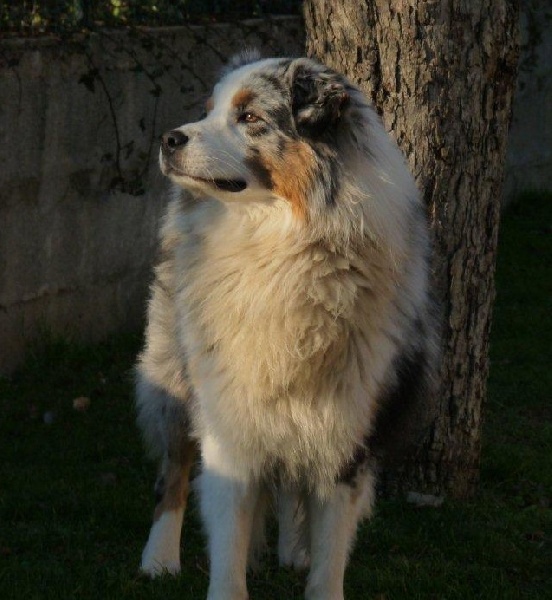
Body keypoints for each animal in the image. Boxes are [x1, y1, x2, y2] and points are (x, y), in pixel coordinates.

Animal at [136, 52, 438, 600]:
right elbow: (228, 539)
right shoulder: (228, 420)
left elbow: (330, 552)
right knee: (174, 470)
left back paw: (291, 549)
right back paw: (159, 558)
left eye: (250, 117)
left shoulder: (344, 434)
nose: (170, 138)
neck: (280, 250)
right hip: (172, 371)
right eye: (207, 110)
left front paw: (311, 565)